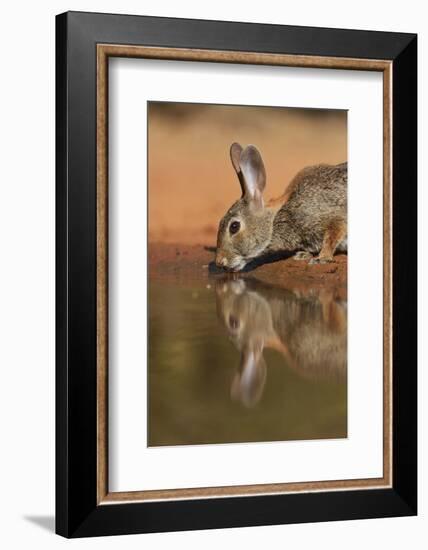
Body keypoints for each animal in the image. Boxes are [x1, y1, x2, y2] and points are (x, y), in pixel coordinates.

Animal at [216, 142, 346, 272]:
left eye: (234, 226)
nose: (219, 263)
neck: (274, 220)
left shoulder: (331, 216)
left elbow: (332, 236)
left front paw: (322, 258)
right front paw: (303, 255)